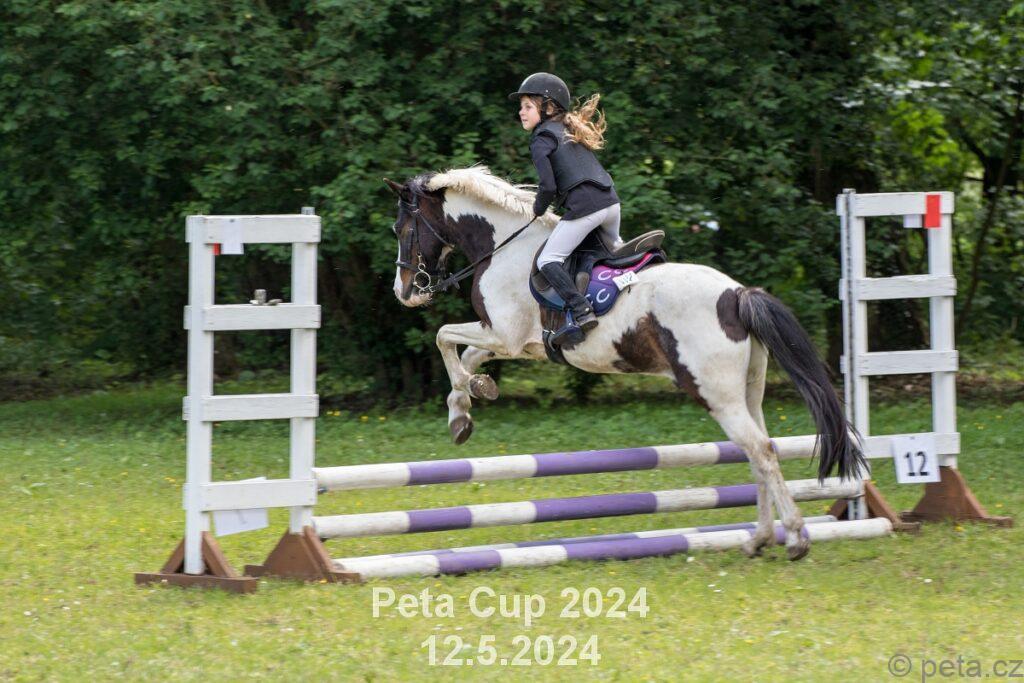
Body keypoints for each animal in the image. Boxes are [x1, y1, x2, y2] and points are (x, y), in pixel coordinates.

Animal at [383, 166, 864, 560]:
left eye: (402, 228)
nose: (403, 292)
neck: (502, 247)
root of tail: (736, 295)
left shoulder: (505, 333)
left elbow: (445, 338)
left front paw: (467, 398)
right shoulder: (516, 342)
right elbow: (463, 354)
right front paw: (466, 407)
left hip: (715, 393)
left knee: (761, 450)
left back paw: (796, 538)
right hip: (749, 392)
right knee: (758, 451)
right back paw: (760, 539)